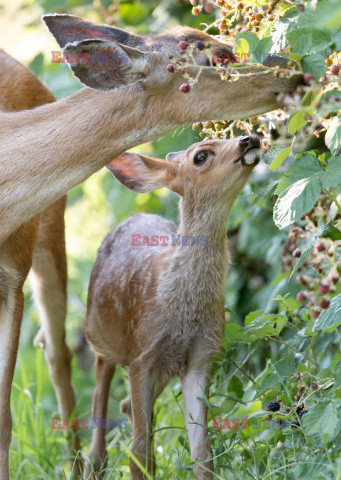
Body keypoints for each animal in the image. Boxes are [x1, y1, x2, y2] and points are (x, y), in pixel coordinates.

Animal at [84, 134, 260, 476]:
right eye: (201, 156)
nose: (249, 139)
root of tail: (134, 215)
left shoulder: (201, 357)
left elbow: (202, 452)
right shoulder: (141, 355)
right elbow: (137, 452)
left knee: (128, 409)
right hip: (101, 342)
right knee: (101, 403)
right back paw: (93, 465)